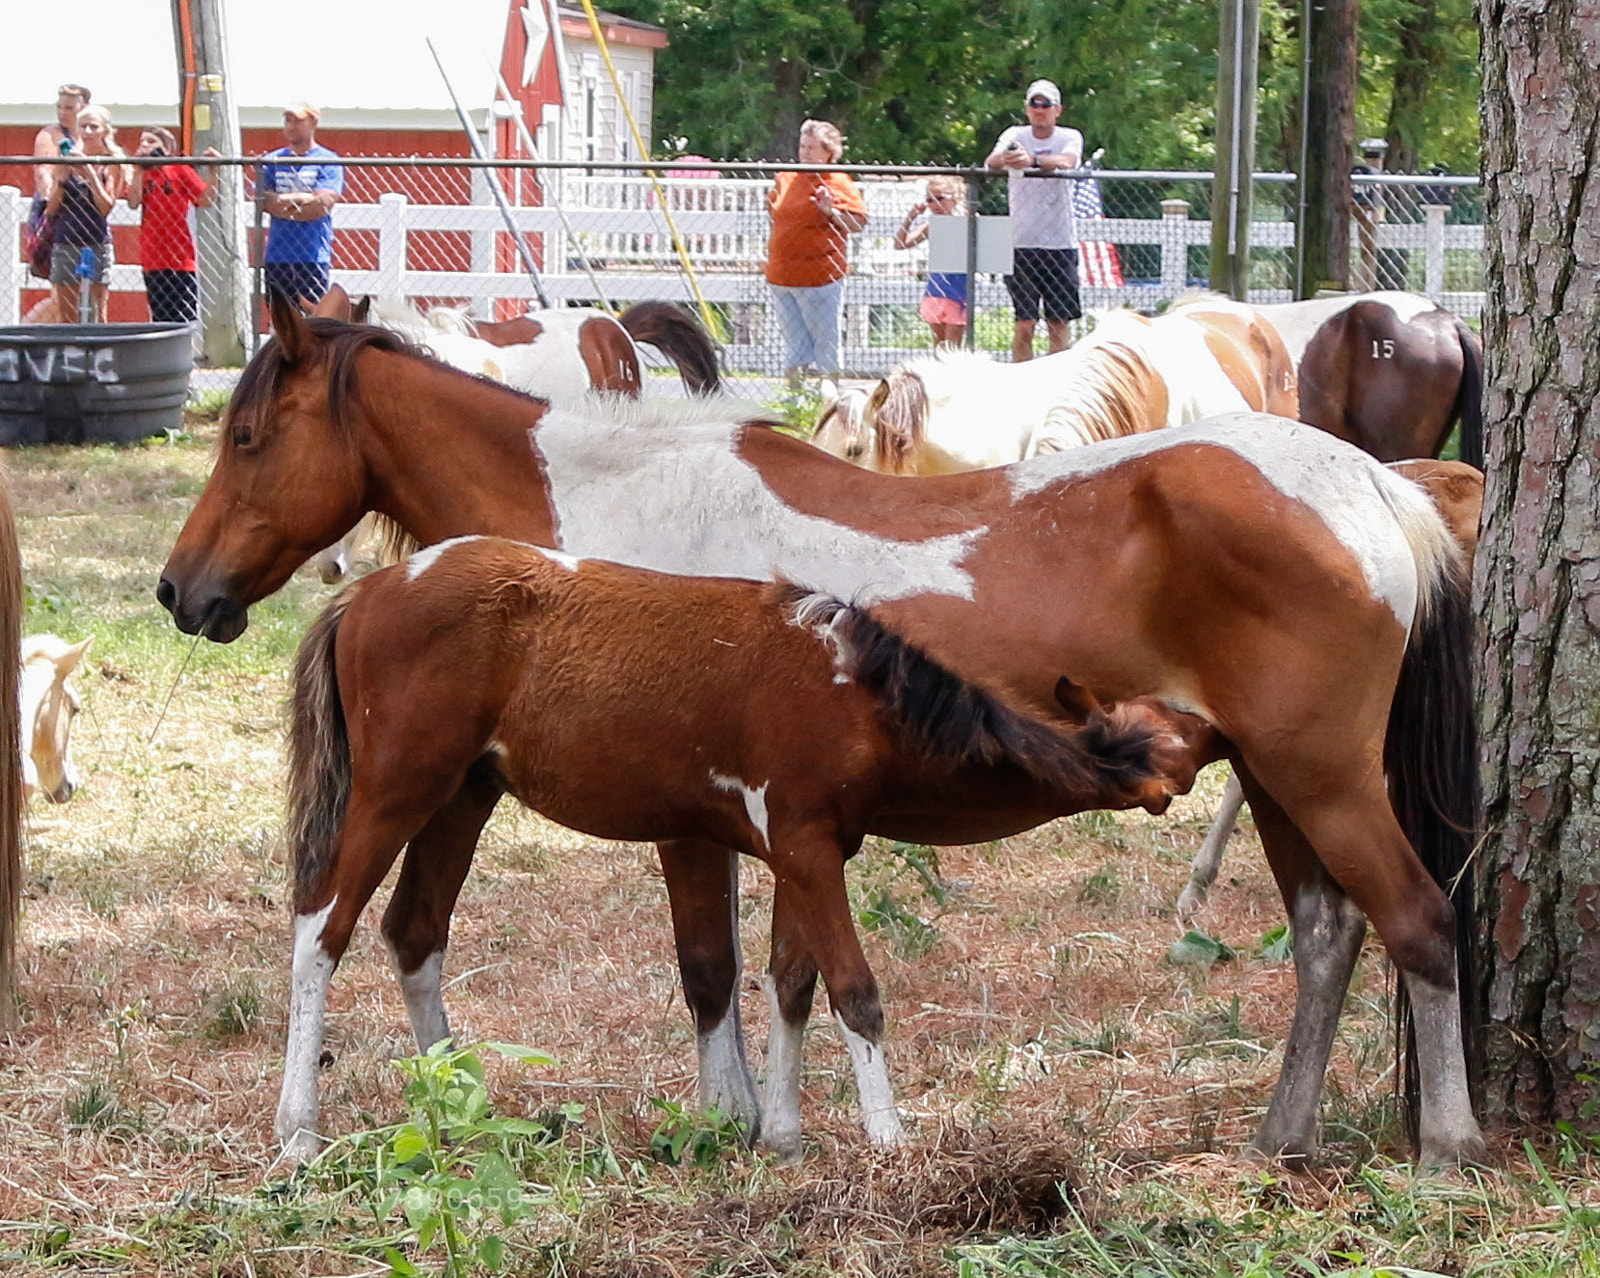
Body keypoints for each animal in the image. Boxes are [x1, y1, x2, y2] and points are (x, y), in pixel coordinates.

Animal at [275, 535, 1187, 1161]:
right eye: (1152, 748)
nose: (1176, 785)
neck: (854, 692)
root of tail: (369, 591)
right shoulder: (807, 848)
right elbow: (854, 991)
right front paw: (890, 1142)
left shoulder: (806, 851)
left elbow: (791, 982)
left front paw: (781, 1135)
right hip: (395, 794)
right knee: (322, 930)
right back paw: (298, 1130)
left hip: (462, 796)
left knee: (415, 932)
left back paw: (460, 1110)